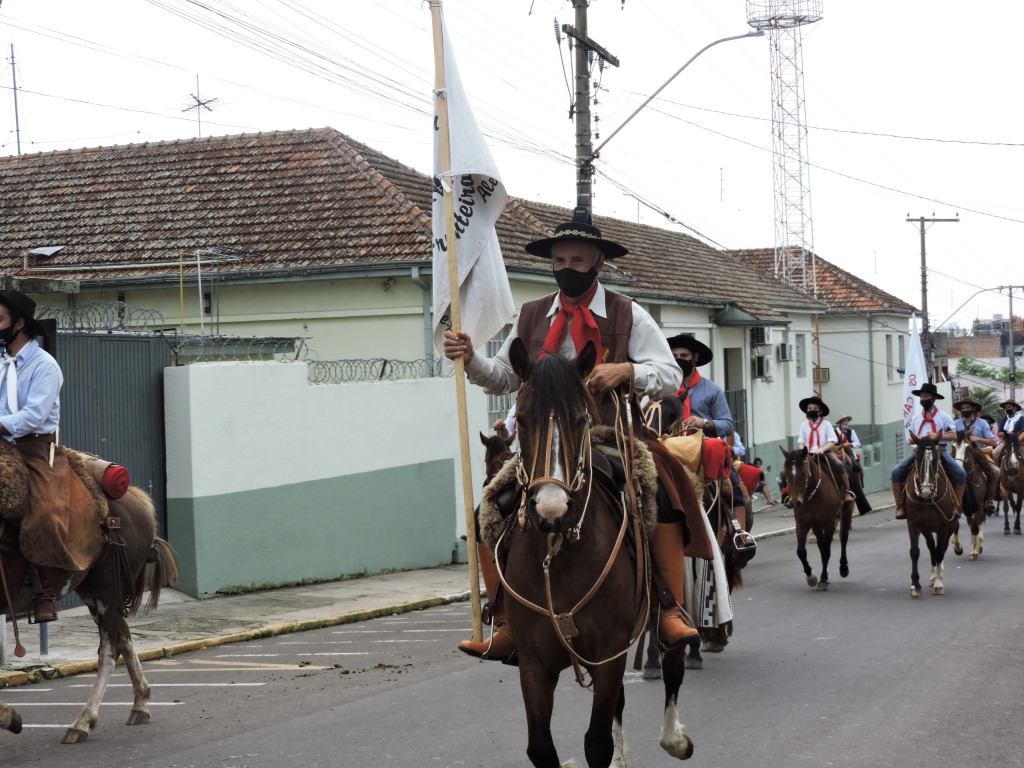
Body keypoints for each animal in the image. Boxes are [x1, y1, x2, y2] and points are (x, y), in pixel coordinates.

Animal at [0, 450, 178, 745]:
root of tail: (136, 498)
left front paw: (9, 716)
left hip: (105, 589)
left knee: (110, 649)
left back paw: (82, 723)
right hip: (94, 592)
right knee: (124, 636)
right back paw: (140, 704)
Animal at [497, 342, 692, 768]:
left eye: (579, 419)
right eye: (523, 420)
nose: (551, 509)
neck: (556, 556)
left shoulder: (610, 650)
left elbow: (596, 742)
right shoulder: (534, 663)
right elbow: (541, 746)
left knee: (673, 663)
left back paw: (674, 737)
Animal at [778, 444, 851, 589]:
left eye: (803, 473)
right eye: (786, 475)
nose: (795, 502)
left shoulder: (830, 523)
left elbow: (827, 551)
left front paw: (822, 579)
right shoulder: (802, 524)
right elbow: (801, 551)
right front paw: (811, 577)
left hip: (846, 513)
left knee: (843, 538)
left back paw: (843, 568)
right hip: (817, 526)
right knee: (821, 545)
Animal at [905, 436, 958, 598]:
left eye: (935, 460)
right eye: (917, 457)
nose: (926, 490)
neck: (927, 500)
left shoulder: (943, 526)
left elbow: (940, 551)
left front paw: (939, 584)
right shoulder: (913, 524)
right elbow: (915, 552)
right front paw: (915, 585)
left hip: (950, 526)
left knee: (941, 548)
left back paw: (938, 576)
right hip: (926, 528)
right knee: (931, 546)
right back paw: (933, 576)